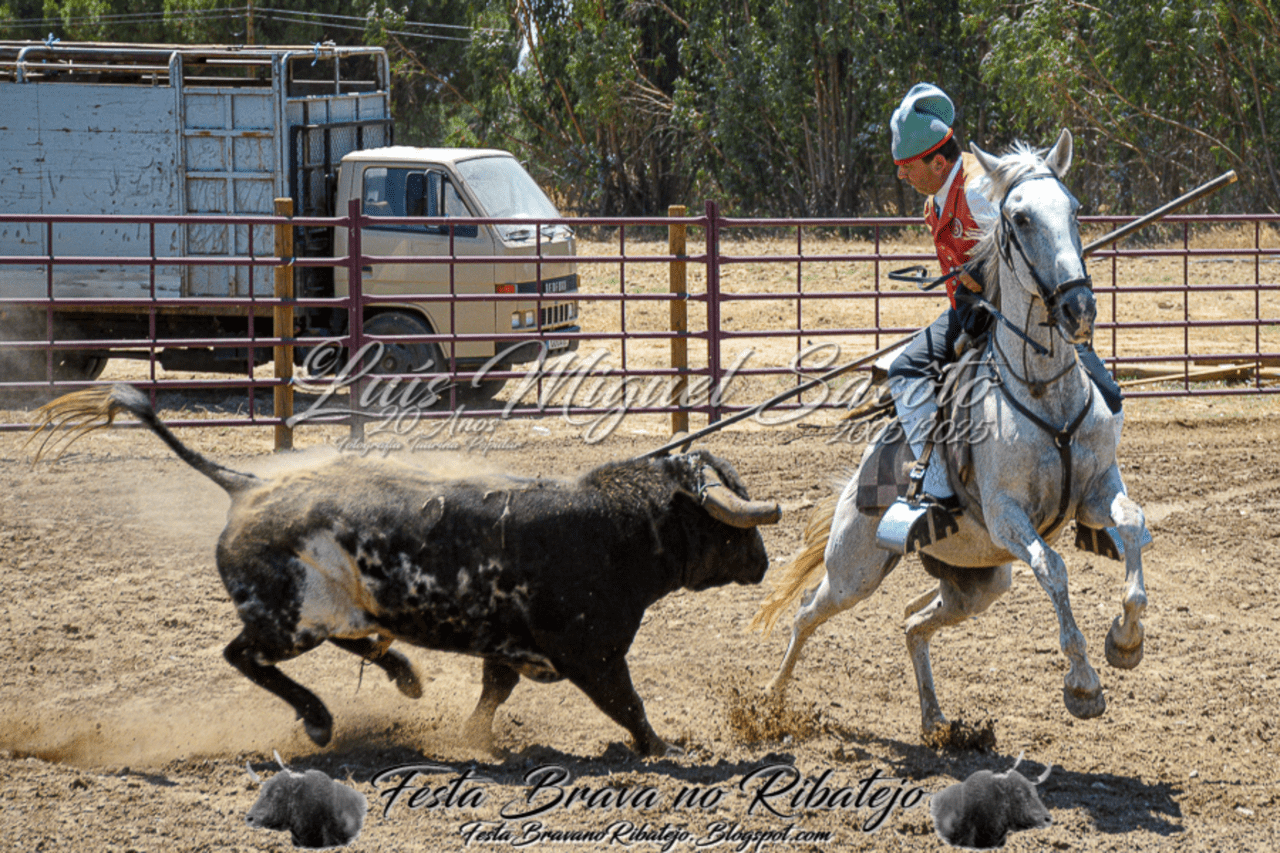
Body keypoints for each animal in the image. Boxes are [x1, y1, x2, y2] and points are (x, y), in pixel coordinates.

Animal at [30, 383, 780, 756]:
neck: (616, 529)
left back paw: (403, 673)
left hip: (331, 611)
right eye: (727, 525)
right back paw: (321, 720)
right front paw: (664, 747)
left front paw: (473, 738)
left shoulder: (510, 647)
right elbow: (628, 704)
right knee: (244, 655)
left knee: (351, 639)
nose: (765, 562)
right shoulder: (592, 654)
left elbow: (494, 692)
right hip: (287, 621)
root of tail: (246, 486)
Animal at [752, 129, 1150, 736]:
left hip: (977, 584)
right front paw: (1082, 684)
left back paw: (936, 719)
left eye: (1075, 208)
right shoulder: (1009, 515)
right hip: (853, 572)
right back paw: (768, 705)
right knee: (806, 614)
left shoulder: (1099, 486)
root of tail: (855, 485)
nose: (1078, 307)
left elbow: (1131, 525)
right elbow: (1054, 569)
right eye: (1020, 217)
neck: (1042, 390)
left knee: (912, 621)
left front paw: (1125, 640)